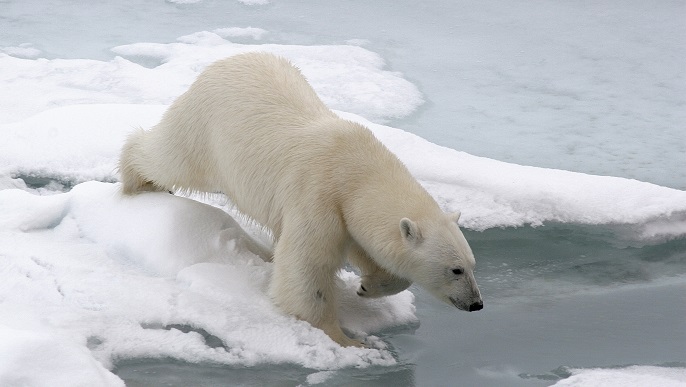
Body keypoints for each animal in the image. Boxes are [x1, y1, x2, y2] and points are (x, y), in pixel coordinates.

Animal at [119, 52, 484, 348]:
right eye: (455, 269)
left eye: (472, 264)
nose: (477, 304)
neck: (356, 169)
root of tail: (223, 61)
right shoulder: (318, 193)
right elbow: (308, 267)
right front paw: (346, 339)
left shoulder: (346, 212)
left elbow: (366, 250)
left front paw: (368, 287)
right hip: (204, 129)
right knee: (169, 157)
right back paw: (138, 178)